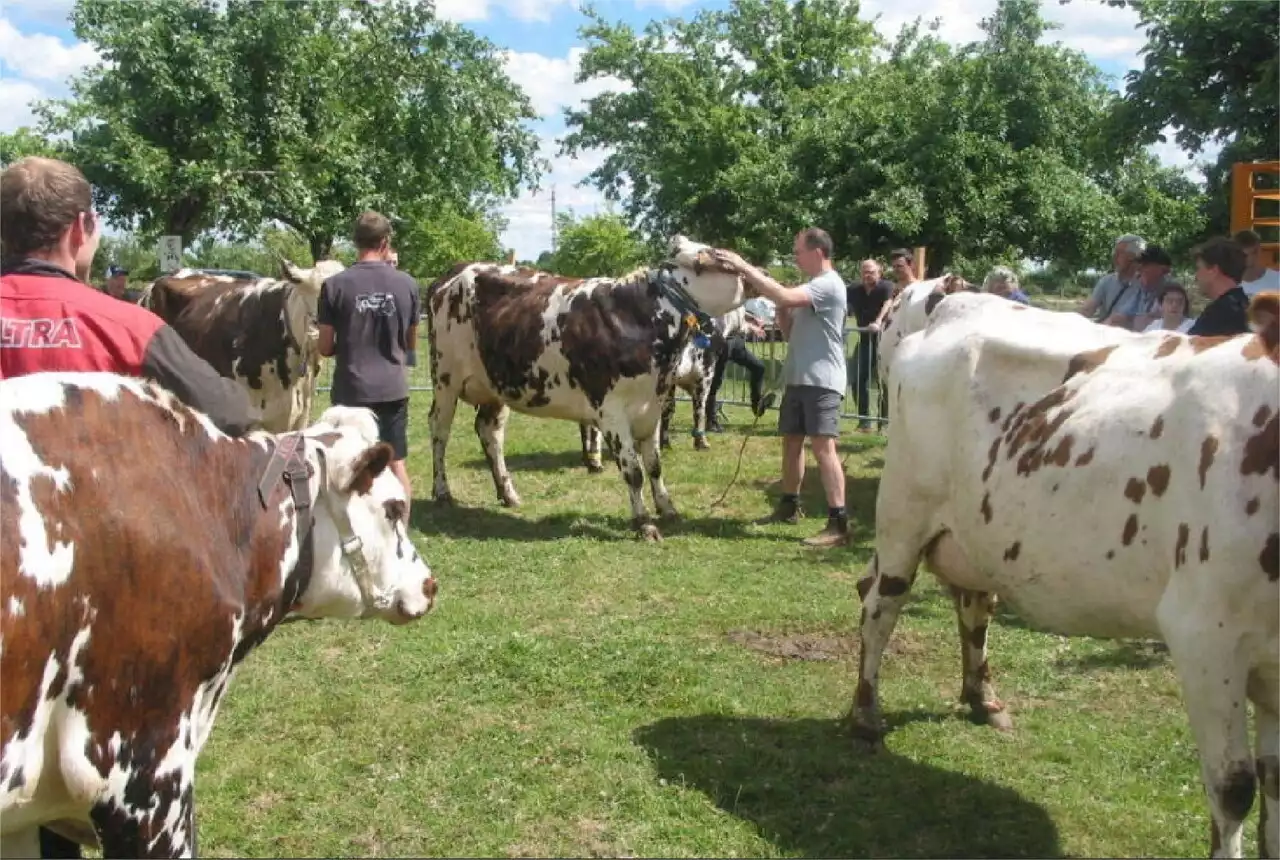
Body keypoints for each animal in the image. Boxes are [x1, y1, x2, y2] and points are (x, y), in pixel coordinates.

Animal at [427, 235, 747, 540]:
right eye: (719, 258)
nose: (751, 271)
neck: (642, 319)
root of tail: (457, 270)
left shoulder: (652, 408)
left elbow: (654, 465)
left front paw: (668, 509)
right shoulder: (612, 411)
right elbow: (634, 472)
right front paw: (644, 523)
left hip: (496, 386)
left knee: (489, 432)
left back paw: (508, 494)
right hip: (445, 379)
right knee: (439, 430)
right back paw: (442, 493)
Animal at [849, 290, 1280, 860]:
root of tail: (952, 298)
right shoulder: (1206, 638)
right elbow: (1234, 790)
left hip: (977, 532)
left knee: (972, 604)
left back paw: (983, 698)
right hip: (904, 514)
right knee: (880, 608)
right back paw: (865, 717)